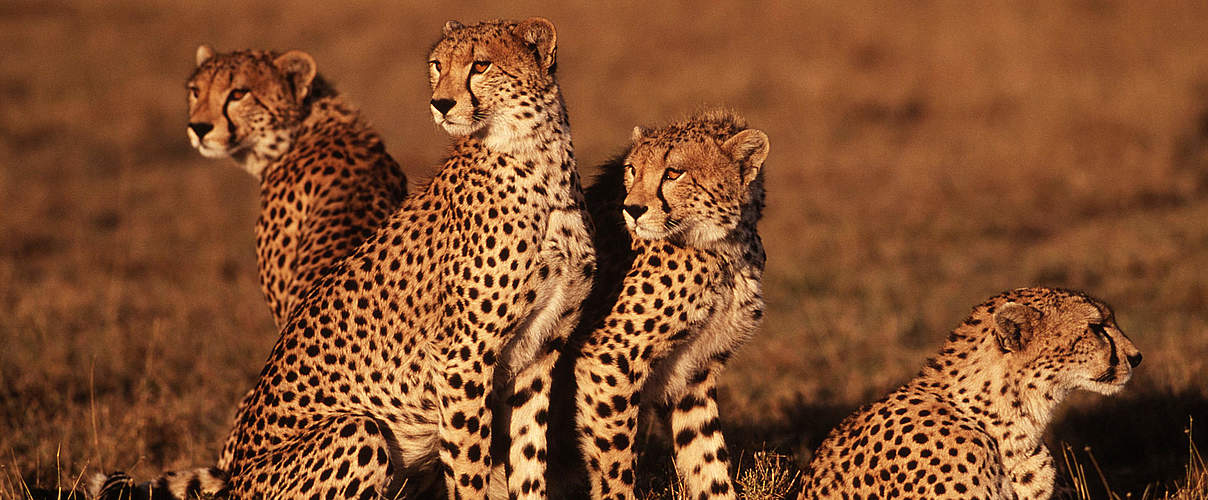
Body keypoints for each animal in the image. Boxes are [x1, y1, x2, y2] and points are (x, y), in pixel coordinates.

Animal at [572, 110, 768, 500]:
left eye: (674, 172)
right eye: (632, 169)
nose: (632, 209)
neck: (724, 248)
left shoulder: (694, 369)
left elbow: (707, 457)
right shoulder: (607, 359)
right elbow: (615, 459)